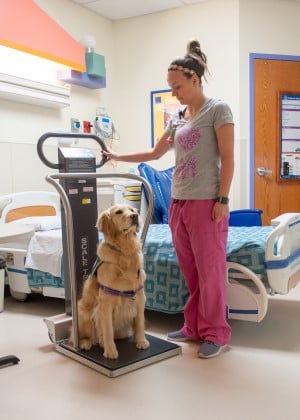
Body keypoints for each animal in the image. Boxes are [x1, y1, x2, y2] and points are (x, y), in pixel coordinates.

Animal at [70, 203, 150, 358]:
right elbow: (107, 331)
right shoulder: (105, 305)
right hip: (83, 315)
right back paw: (86, 343)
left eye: (132, 210)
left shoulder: (139, 298)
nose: (134, 216)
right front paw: (110, 351)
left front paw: (141, 341)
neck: (125, 252)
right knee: (75, 338)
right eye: (118, 212)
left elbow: (140, 324)